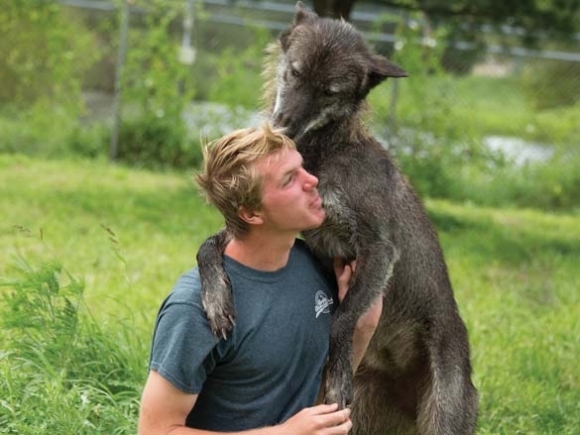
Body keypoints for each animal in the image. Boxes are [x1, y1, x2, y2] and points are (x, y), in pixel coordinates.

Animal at [197, 2, 478, 432]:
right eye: (295, 72)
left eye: (329, 91)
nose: (283, 126)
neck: (324, 154)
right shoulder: (302, 234)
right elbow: (207, 244)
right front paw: (216, 299)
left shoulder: (379, 249)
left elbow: (342, 320)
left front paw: (338, 375)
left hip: (443, 412)